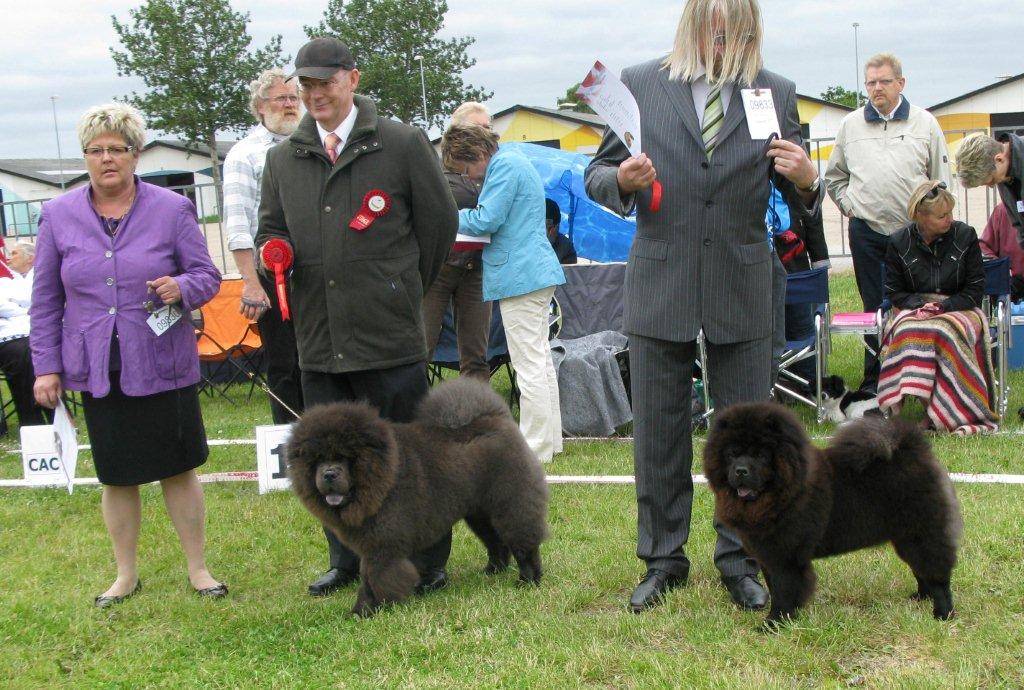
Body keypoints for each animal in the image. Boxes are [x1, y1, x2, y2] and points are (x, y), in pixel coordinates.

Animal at [284, 378, 548, 614]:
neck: (383, 474)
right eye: (316, 459)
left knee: (523, 542)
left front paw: (363, 610)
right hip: (478, 512)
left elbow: (374, 577)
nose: (328, 473)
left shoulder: (382, 544)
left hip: (511, 503)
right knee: (495, 541)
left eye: (344, 457)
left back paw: (528, 579)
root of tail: (497, 418)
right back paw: (493, 570)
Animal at [704, 401, 958, 626]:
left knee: (937, 576)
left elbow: (785, 593)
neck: (782, 494)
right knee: (921, 571)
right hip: (905, 538)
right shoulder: (769, 556)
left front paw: (774, 623)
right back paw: (920, 598)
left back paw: (943, 614)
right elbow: (775, 589)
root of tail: (915, 450)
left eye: (761, 456)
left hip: (922, 535)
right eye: (732, 454)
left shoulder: (787, 559)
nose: (740, 470)